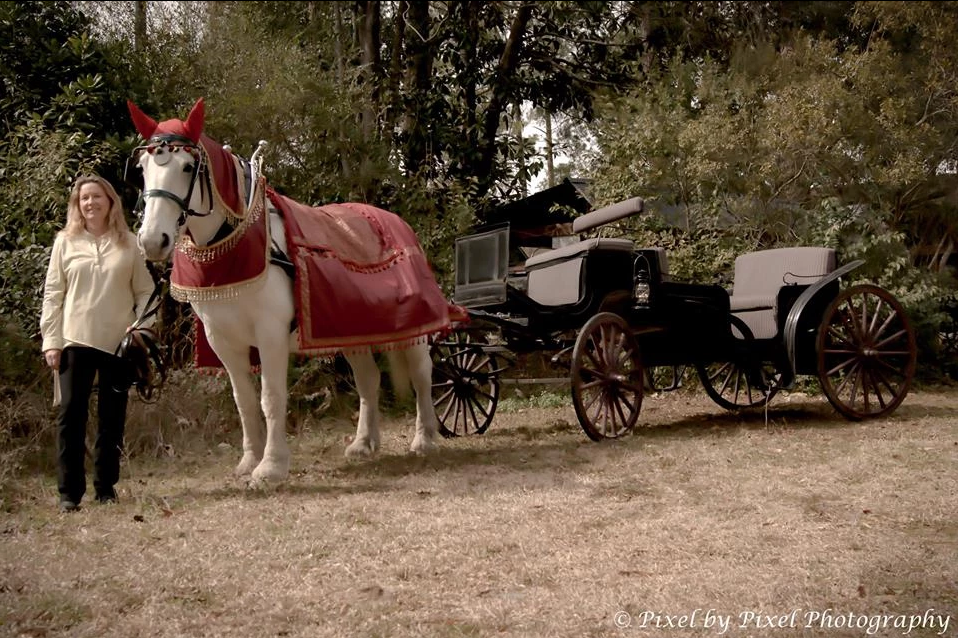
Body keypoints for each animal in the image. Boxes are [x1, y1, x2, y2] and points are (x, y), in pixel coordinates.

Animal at [126, 98, 464, 484]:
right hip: (350, 332)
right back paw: (364, 443)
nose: (153, 240)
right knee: (368, 378)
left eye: (186, 166)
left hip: (415, 329)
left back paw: (425, 438)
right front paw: (249, 460)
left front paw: (271, 466)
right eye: (142, 168)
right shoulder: (223, 341)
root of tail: (396, 222)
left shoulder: (270, 334)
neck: (241, 244)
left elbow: (271, 398)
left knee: (423, 373)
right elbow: (244, 401)